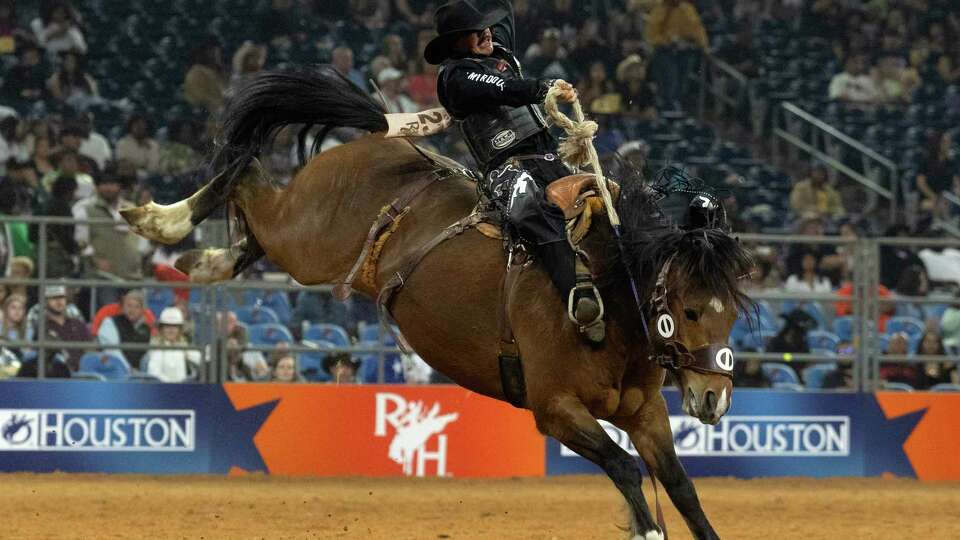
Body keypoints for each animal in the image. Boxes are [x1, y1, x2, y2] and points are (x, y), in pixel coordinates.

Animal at [122, 68, 752, 540]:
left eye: (731, 315)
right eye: (690, 311)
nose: (714, 399)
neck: (608, 297)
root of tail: (382, 137)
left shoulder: (645, 413)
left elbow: (680, 487)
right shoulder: (554, 409)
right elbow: (625, 468)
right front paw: (647, 528)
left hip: (298, 241)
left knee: (251, 218)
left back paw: (204, 259)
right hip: (303, 238)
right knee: (247, 175)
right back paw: (160, 219)